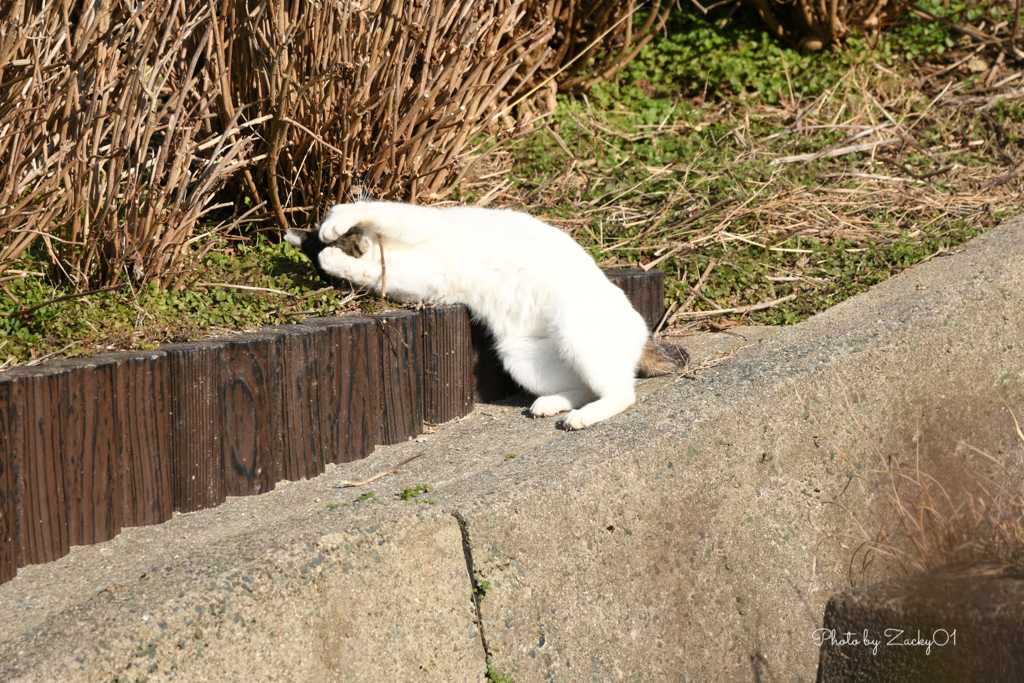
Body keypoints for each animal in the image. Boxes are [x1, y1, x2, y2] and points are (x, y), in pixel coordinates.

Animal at [288, 200, 684, 430]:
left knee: (622, 393)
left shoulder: (417, 223)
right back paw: (553, 404)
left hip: (574, 328)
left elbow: (367, 208)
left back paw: (583, 417)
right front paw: (335, 259)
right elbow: (371, 270)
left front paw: (333, 229)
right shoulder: (421, 278)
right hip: (520, 356)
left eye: (351, 241)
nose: (358, 246)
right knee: (588, 387)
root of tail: (643, 332)